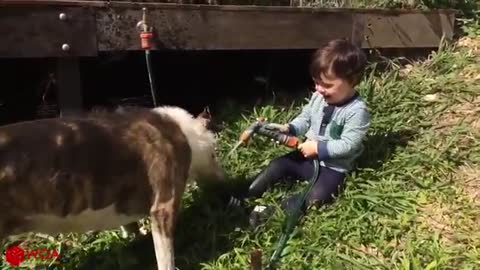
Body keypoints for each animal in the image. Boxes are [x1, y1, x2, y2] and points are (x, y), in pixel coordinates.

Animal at [0, 105, 227, 270]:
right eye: (215, 154)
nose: (226, 181)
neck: (185, 133)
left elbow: (131, 226)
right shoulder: (164, 205)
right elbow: (165, 255)